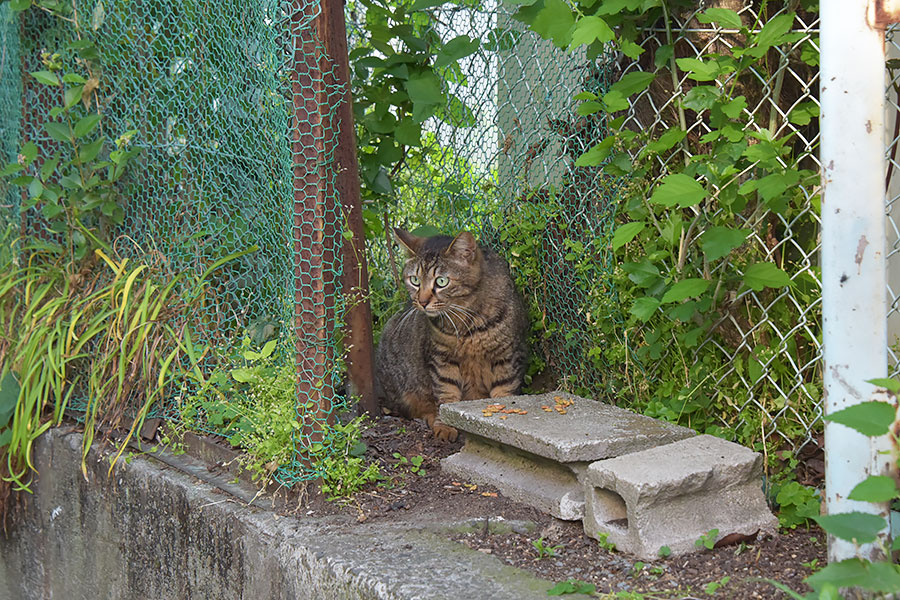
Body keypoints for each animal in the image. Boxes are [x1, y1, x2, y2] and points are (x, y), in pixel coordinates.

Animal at [374, 226, 528, 440]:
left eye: (441, 281)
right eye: (415, 280)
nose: (422, 302)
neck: (466, 322)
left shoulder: (508, 356)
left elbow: (505, 392)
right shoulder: (442, 359)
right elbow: (446, 394)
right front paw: (445, 425)